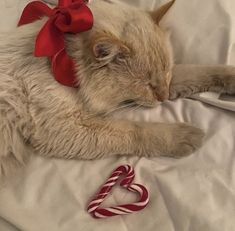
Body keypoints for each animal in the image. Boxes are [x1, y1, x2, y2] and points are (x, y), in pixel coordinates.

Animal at [0, 0, 234, 178]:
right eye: (147, 84)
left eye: (166, 71)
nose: (164, 97)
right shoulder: (67, 128)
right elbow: (135, 130)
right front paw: (186, 136)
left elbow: (197, 71)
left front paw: (230, 77)